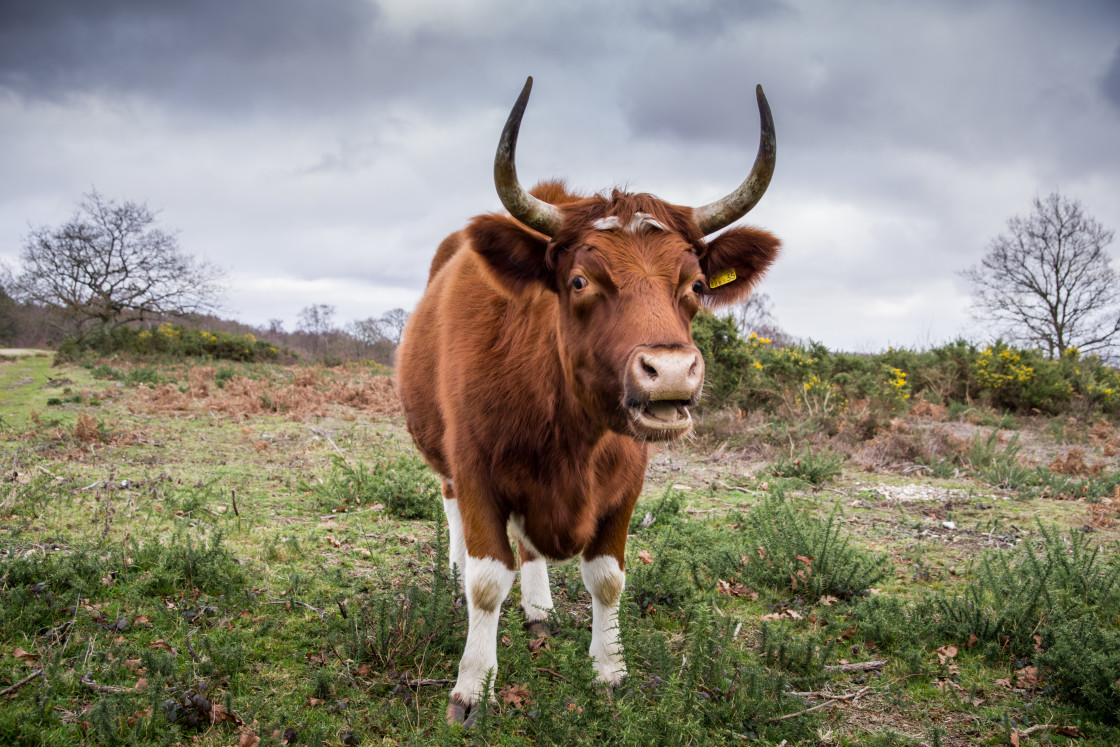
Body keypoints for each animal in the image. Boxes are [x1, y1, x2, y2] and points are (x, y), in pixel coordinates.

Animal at [396, 77, 779, 725]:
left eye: (696, 285)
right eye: (580, 281)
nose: (670, 372)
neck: (566, 430)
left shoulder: (625, 483)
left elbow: (607, 578)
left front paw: (609, 672)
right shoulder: (476, 472)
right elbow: (486, 581)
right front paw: (472, 686)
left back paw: (540, 610)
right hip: (442, 459)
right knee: (452, 515)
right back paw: (456, 570)